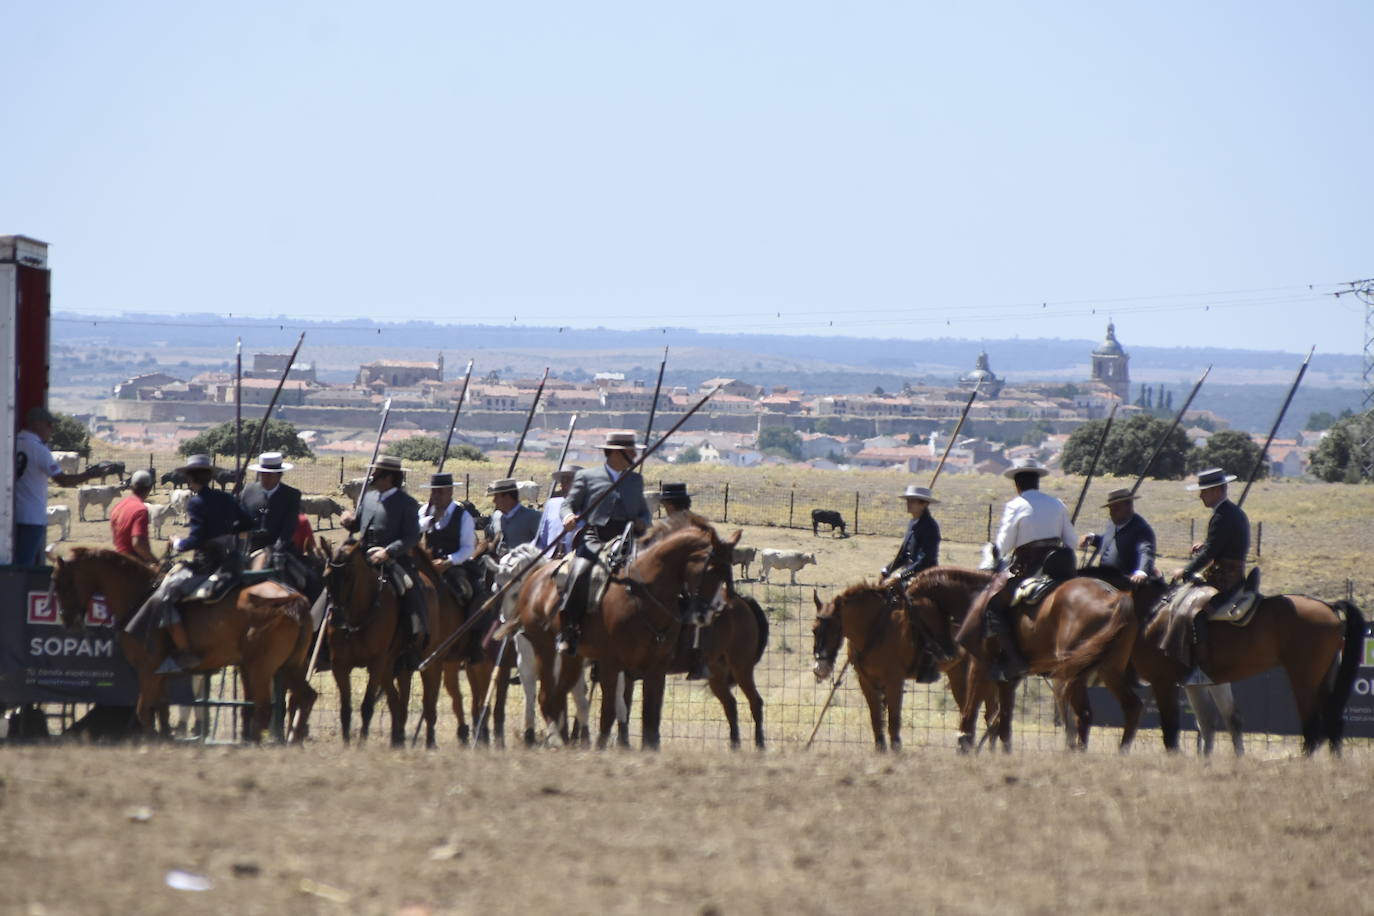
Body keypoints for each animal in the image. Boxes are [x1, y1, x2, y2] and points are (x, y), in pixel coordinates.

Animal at [50, 549, 316, 741]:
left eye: (62, 582)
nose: (67, 619)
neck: (140, 595)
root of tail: (293, 598)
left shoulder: (147, 671)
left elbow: (144, 711)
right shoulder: (161, 675)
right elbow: (162, 710)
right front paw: (166, 738)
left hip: (260, 669)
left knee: (263, 708)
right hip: (288, 667)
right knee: (305, 697)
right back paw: (292, 741)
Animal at [320, 541, 439, 747]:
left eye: (349, 576)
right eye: (326, 576)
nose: (336, 618)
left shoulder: (375, 664)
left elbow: (367, 706)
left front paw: (361, 745)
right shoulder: (340, 666)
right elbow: (345, 709)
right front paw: (346, 744)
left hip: (425, 662)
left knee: (428, 702)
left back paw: (430, 742)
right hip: (393, 668)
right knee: (397, 700)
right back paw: (397, 740)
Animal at [502, 513, 741, 747]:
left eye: (726, 572)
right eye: (709, 570)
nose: (707, 614)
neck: (641, 593)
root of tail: (535, 578)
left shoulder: (655, 667)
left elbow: (649, 717)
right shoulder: (610, 663)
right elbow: (609, 711)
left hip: (571, 657)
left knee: (558, 695)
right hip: (545, 650)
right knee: (546, 697)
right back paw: (556, 740)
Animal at [802, 576, 1000, 747]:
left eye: (834, 628)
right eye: (814, 630)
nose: (820, 668)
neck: (875, 627)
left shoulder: (894, 682)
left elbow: (893, 723)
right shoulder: (867, 683)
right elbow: (877, 723)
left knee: (987, 713)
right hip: (958, 674)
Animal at [1082, 568, 1363, 758]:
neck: (1151, 611)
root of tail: (1329, 606)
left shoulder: (1164, 682)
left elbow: (1172, 729)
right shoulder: (1200, 683)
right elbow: (1216, 721)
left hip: (1304, 677)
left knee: (1313, 726)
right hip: (1325, 677)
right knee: (1333, 721)